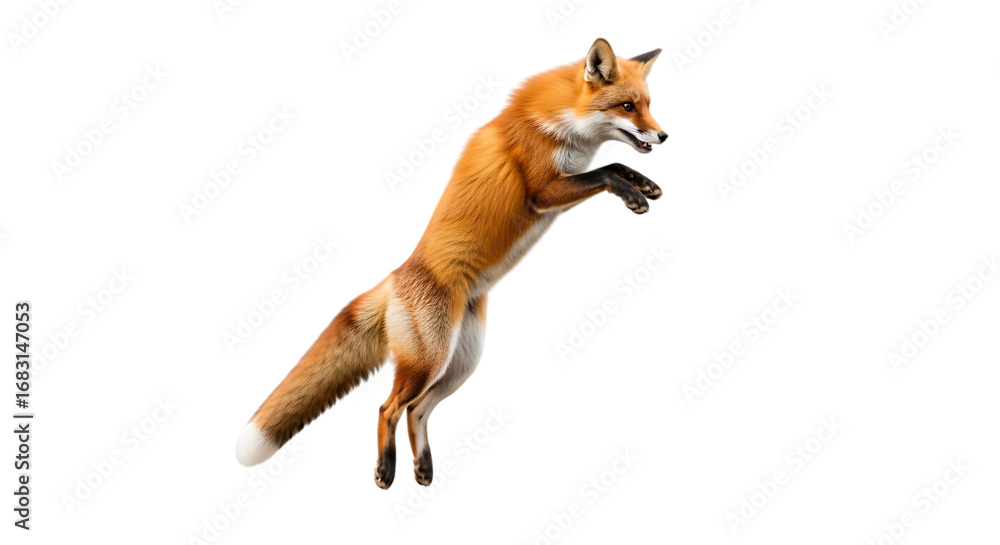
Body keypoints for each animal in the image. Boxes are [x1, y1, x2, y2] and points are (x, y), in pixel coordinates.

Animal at [236, 38, 668, 489]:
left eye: (648, 104)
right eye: (627, 107)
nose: (663, 135)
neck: (560, 123)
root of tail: (397, 275)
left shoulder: (561, 187)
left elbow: (615, 165)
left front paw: (645, 185)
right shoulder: (543, 191)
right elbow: (605, 172)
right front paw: (632, 193)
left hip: (460, 363)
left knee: (416, 409)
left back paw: (423, 468)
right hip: (429, 361)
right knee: (388, 408)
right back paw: (385, 470)